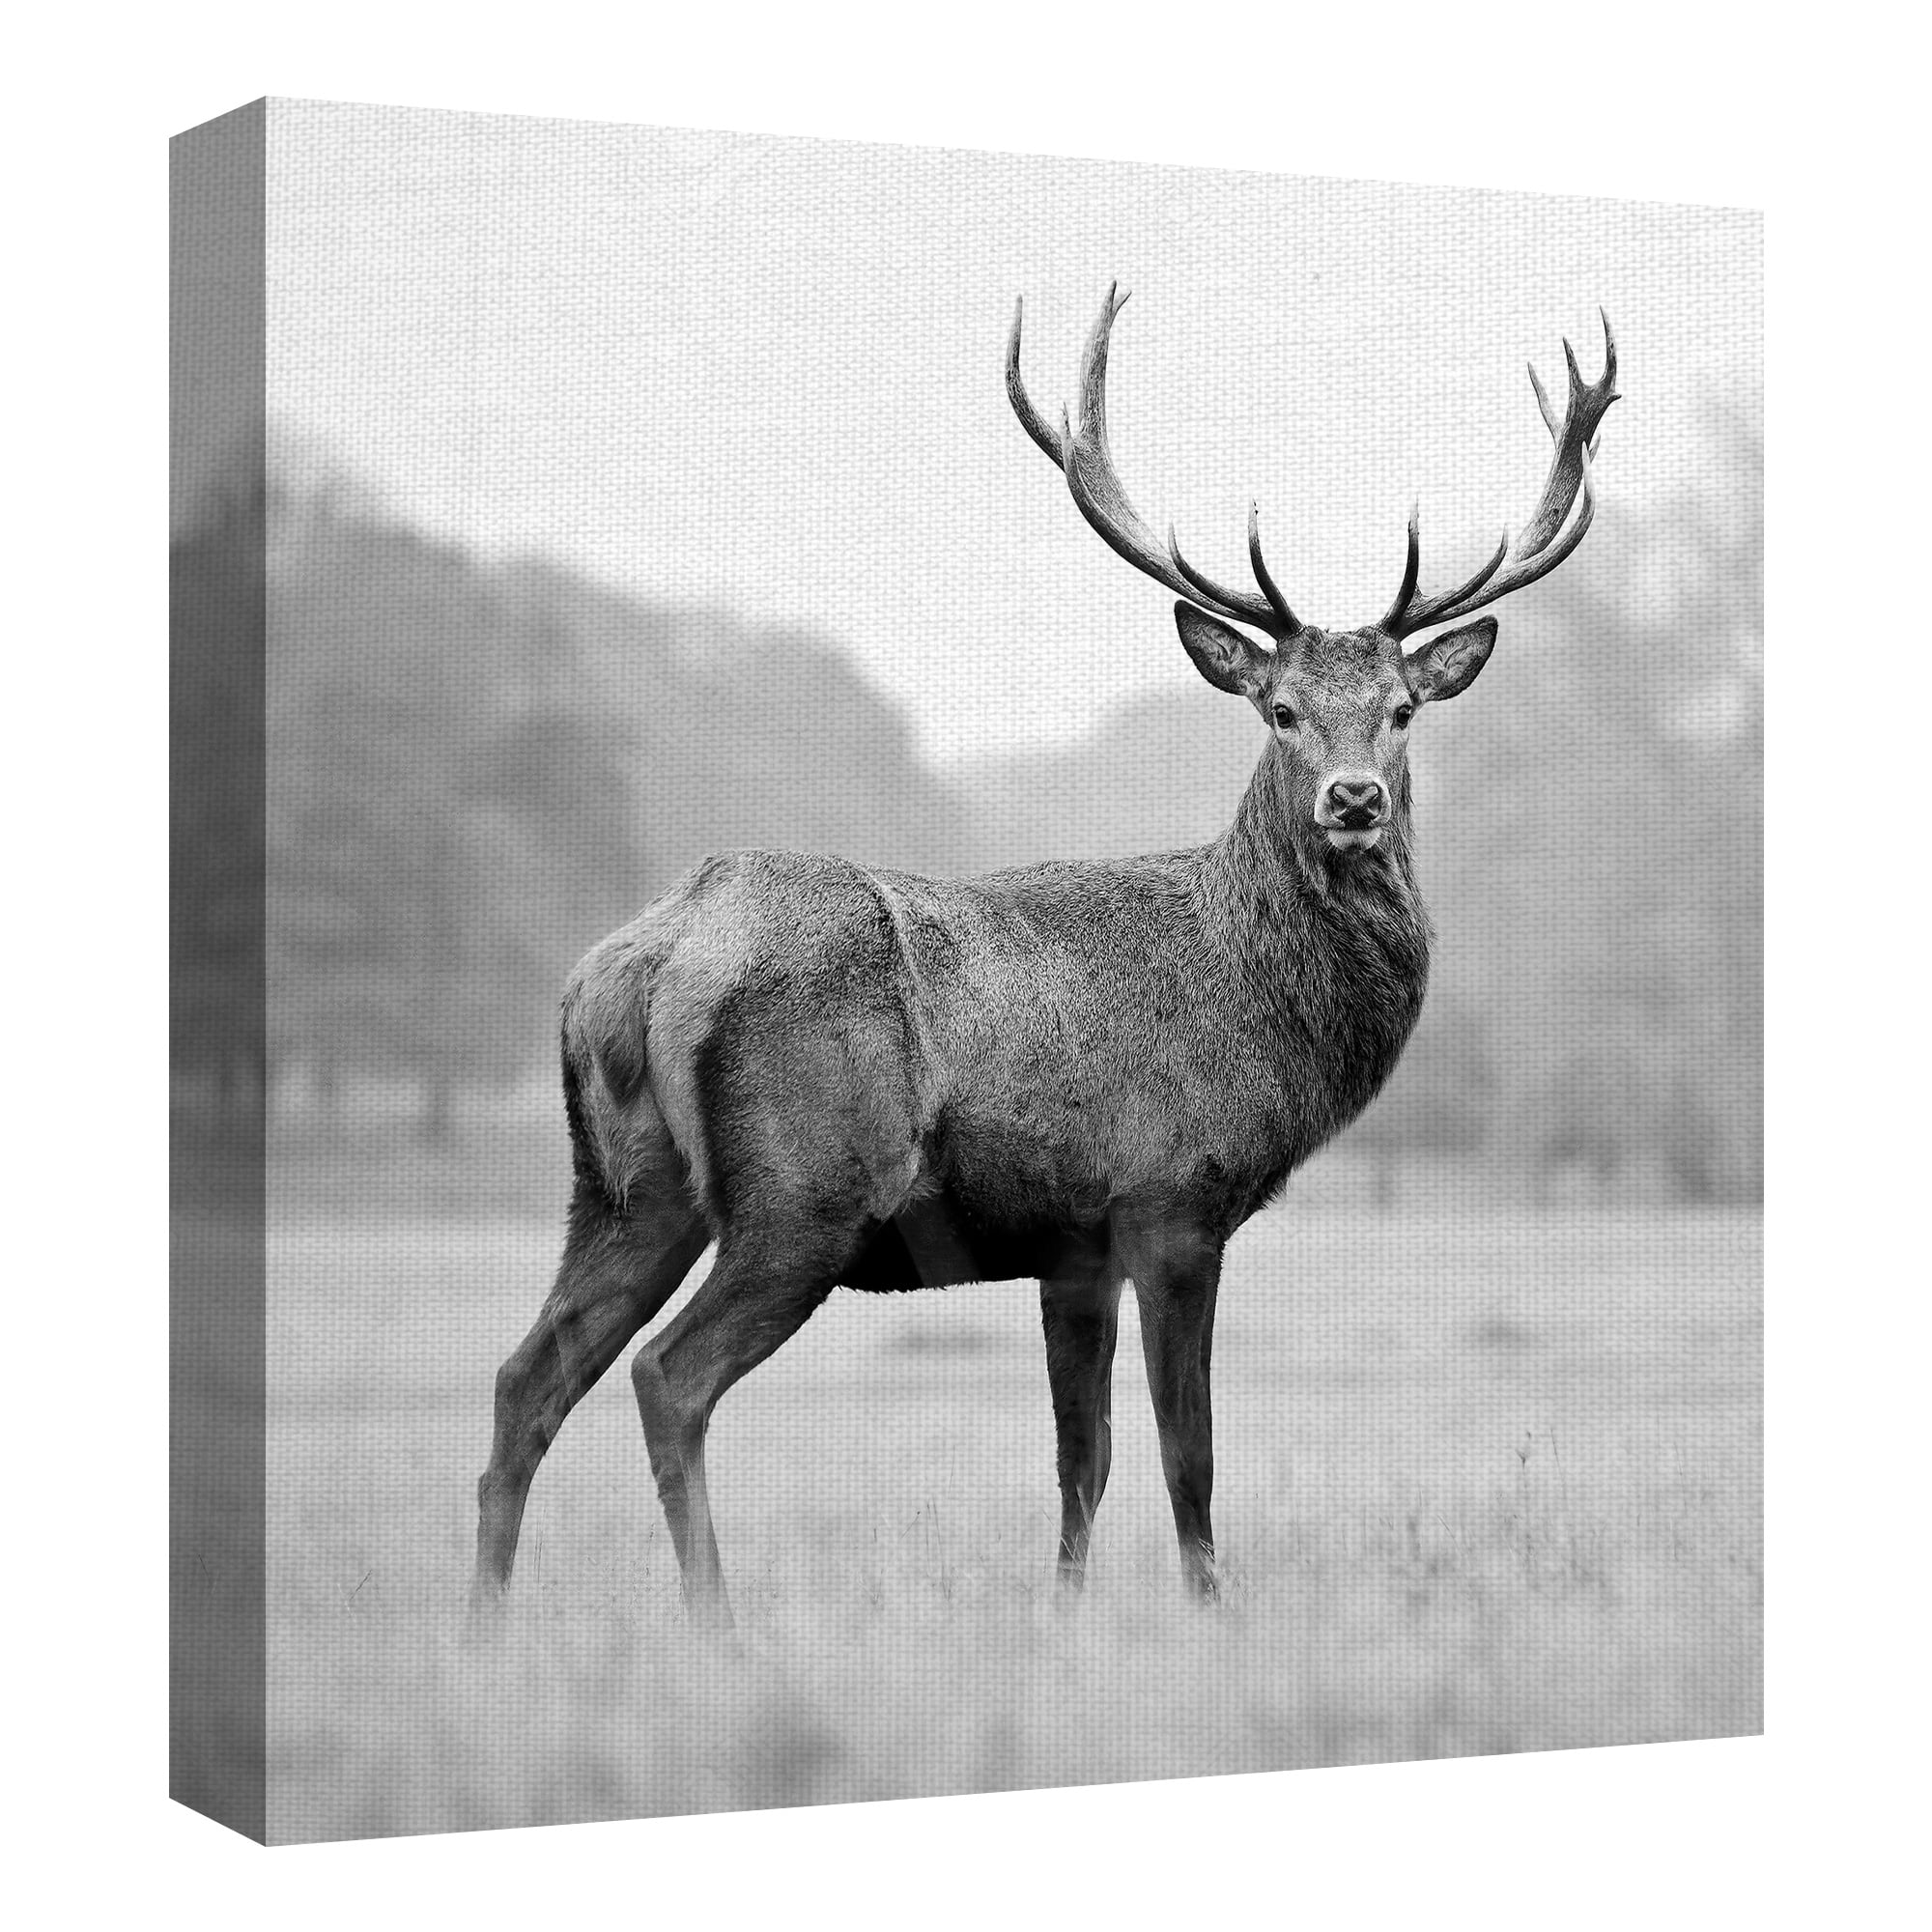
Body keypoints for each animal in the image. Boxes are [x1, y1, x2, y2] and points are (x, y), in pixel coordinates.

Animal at [471, 284, 1619, 1630]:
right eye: (1278, 709)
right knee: (667, 1375)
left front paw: (1062, 1619)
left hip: (621, 1186)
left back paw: (485, 1628)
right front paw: (1209, 1616)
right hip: (799, 1191)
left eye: (1400, 710)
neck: (1257, 1008)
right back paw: (716, 1625)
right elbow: (1185, 1450)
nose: (1351, 800)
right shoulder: (1171, 1198)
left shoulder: (1068, 1246)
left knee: (525, 1376)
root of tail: (643, 961)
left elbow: (1083, 1456)